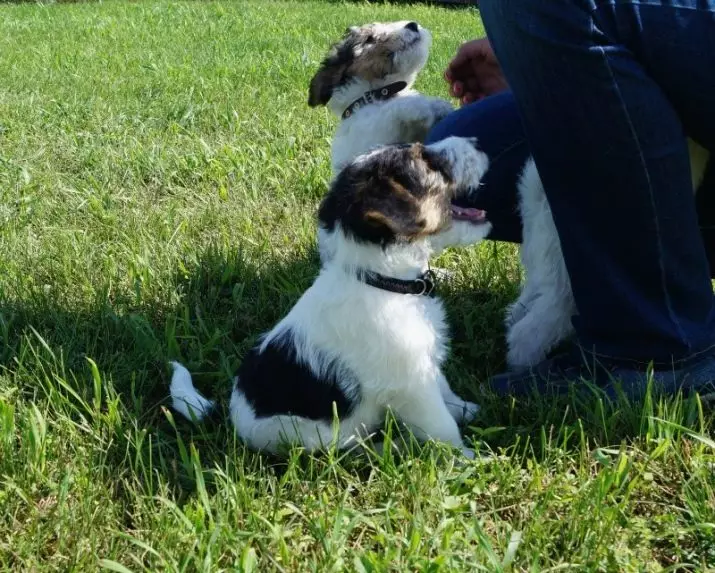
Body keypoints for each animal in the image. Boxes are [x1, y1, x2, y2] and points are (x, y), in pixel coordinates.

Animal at [169, 136, 492, 458]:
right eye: (426, 160)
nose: (477, 140)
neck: (382, 281)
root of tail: (230, 417)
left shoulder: (424, 359)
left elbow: (445, 389)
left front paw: (468, 408)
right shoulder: (411, 383)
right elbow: (442, 426)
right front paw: (467, 458)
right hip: (314, 440)